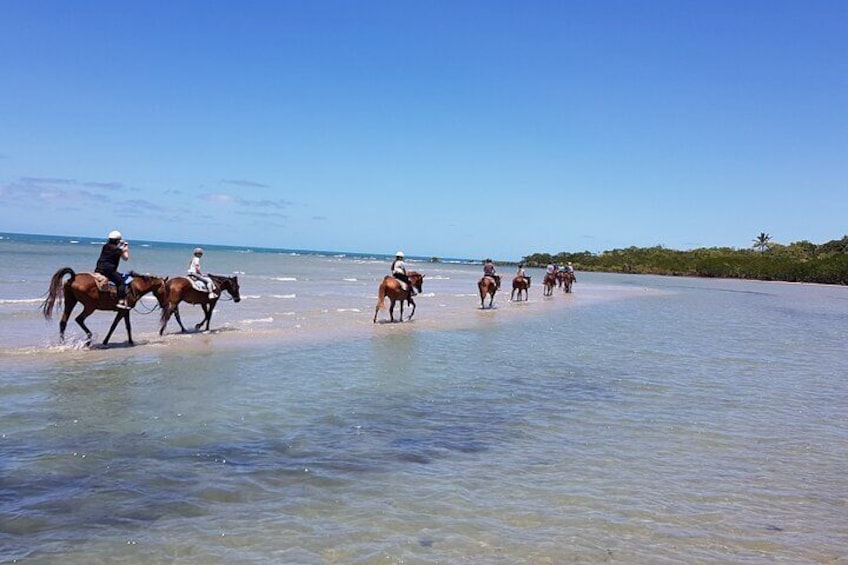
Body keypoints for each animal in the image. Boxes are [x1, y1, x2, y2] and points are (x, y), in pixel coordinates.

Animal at [40, 268, 170, 346]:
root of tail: (73, 277)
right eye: (164, 289)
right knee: (79, 319)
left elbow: (128, 326)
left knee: (63, 322)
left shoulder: (125, 311)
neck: (135, 286)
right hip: (90, 306)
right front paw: (106, 341)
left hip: (70, 302)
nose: (164, 304)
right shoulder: (122, 311)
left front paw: (130, 341)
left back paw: (63, 343)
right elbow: (114, 326)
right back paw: (88, 339)